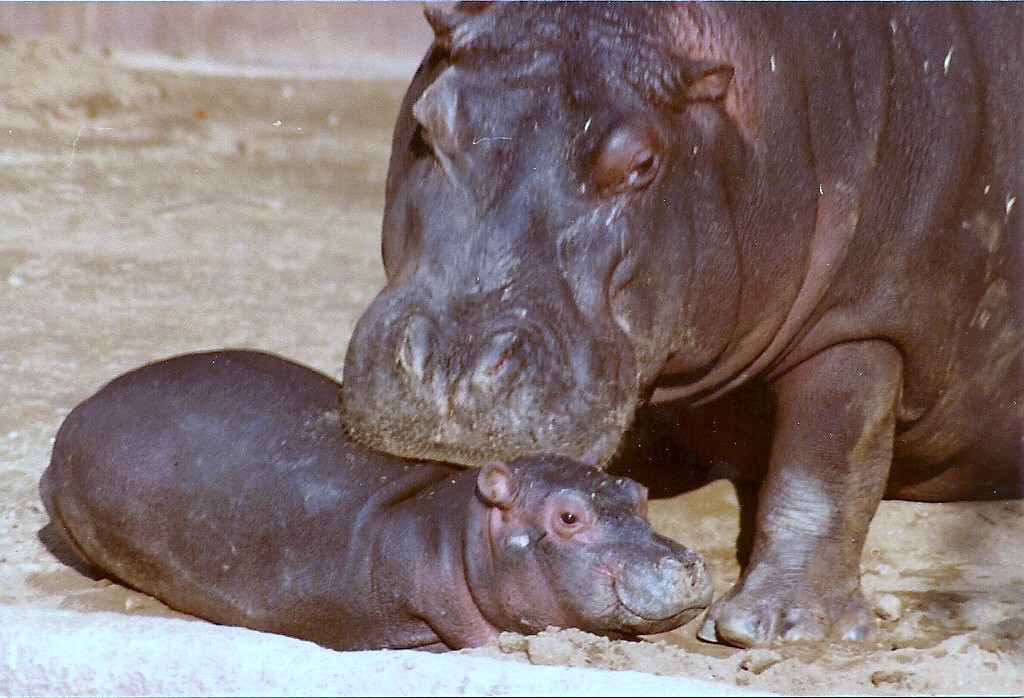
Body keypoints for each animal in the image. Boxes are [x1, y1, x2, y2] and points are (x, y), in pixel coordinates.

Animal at [339, 2, 1024, 647]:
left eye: (643, 163)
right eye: (427, 124)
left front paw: (778, 626)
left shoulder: (864, 321)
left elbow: (826, 459)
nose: (451, 366)